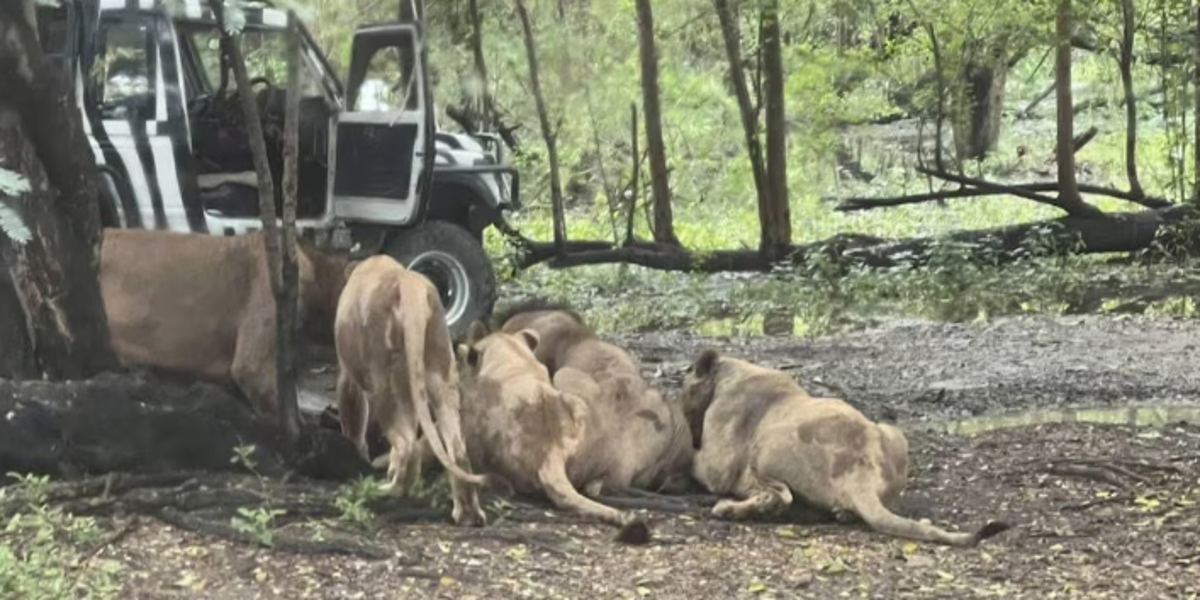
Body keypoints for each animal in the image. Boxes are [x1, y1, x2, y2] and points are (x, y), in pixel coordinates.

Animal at [333, 255, 486, 527]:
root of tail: (410, 284)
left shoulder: (348, 375)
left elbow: (353, 420)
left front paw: (358, 454)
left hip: (384, 382)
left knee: (407, 445)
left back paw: (391, 491)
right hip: (440, 373)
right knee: (457, 450)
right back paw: (468, 514)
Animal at [677, 348, 1011, 547]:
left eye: (685, 380)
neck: (732, 373)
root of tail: (861, 469)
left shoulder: (717, 465)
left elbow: (694, 460)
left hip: (769, 444)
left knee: (780, 496)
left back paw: (727, 509)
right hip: (892, 433)